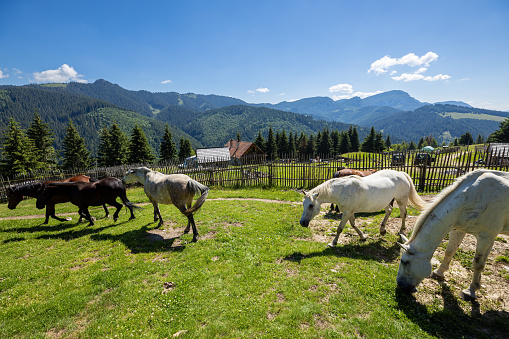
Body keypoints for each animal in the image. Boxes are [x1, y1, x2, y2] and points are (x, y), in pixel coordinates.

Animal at [396, 169, 508, 300]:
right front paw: (439, 273)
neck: (474, 197)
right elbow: (449, 251)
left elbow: (478, 264)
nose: (400, 285)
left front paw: (471, 291)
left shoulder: (486, 237)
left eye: (404, 262)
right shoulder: (459, 230)